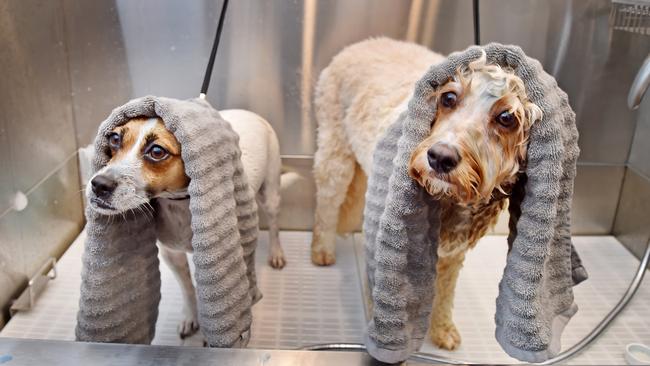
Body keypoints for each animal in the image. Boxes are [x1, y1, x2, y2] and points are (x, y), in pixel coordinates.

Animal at [85, 109, 284, 340]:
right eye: (114, 139)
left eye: (157, 151)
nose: (99, 185)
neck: (181, 203)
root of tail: (249, 112)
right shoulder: (172, 254)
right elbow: (187, 287)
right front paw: (190, 317)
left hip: (270, 195)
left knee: (274, 226)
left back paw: (276, 254)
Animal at [312, 38, 540, 350]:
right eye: (448, 98)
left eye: (506, 117)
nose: (440, 157)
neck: (447, 201)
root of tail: (359, 44)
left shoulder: (454, 253)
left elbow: (444, 293)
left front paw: (442, 329)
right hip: (336, 154)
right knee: (326, 201)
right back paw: (321, 250)